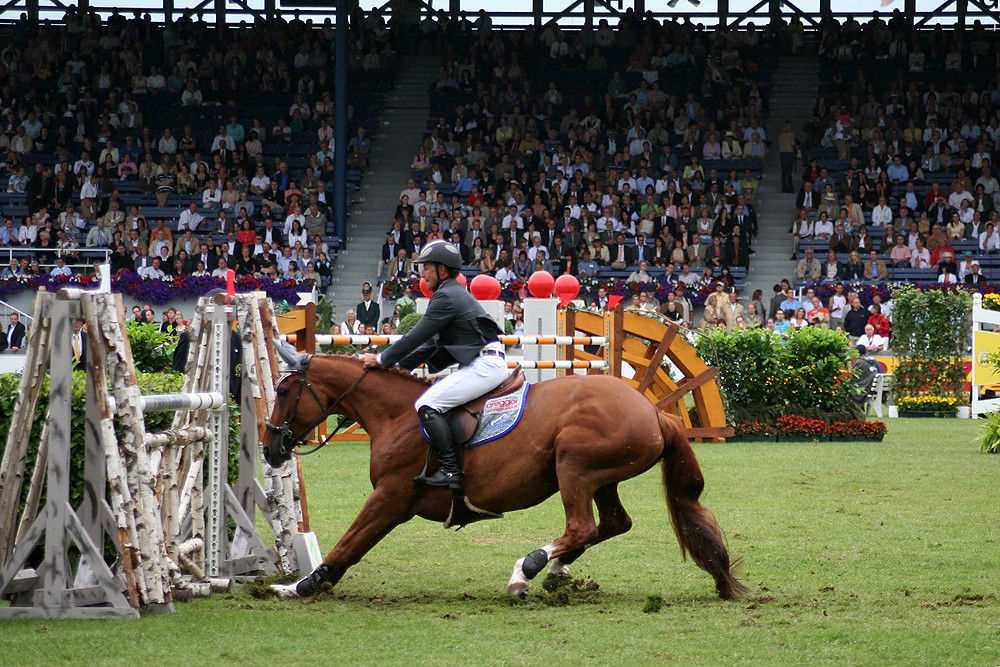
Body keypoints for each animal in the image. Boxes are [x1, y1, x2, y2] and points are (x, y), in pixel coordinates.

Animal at [262, 348, 748, 604]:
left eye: (284, 392)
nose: (268, 449)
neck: (397, 416)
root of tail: (653, 411)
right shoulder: (391, 499)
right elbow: (351, 543)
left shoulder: (390, 498)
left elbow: (349, 544)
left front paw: (301, 585)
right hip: (601, 477)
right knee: (611, 523)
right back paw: (556, 568)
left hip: (574, 467)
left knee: (582, 525)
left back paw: (526, 569)